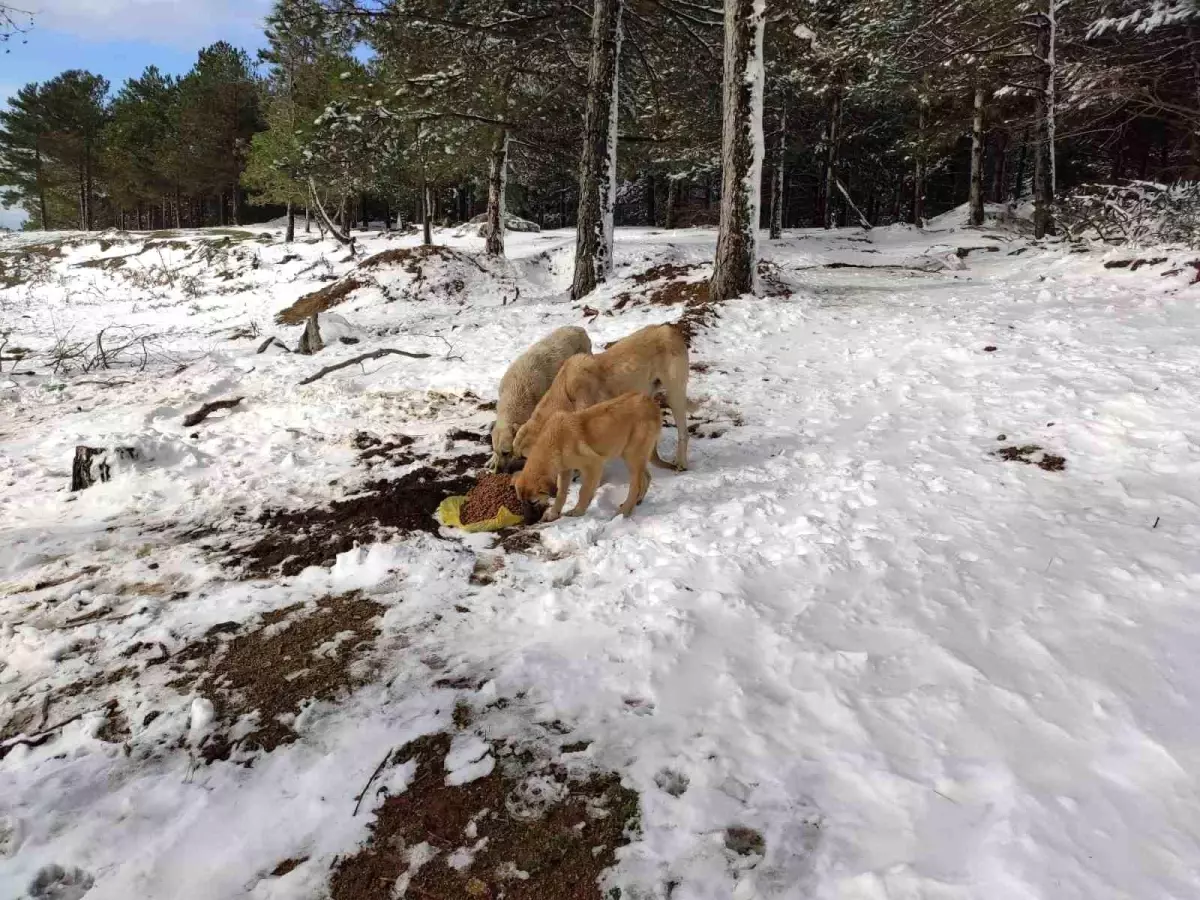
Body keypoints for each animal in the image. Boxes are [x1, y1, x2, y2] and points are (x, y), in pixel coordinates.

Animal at [511, 321, 691, 468]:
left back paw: (681, 463)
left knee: (684, 433)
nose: (507, 472)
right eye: (515, 453)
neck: (566, 397)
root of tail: (670, 329)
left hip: (674, 396)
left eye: (524, 457)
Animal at [511, 393, 667, 525]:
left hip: (632, 455)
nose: (527, 522)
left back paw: (624, 511)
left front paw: (578, 511)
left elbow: (584, 490)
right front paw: (554, 513)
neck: (554, 442)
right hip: (633, 455)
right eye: (521, 502)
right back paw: (638, 501)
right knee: (646, 477)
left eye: (533, 502)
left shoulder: (594, 465)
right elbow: (561, 492)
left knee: (636, 485)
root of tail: (651, 402)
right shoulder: (565, 470)